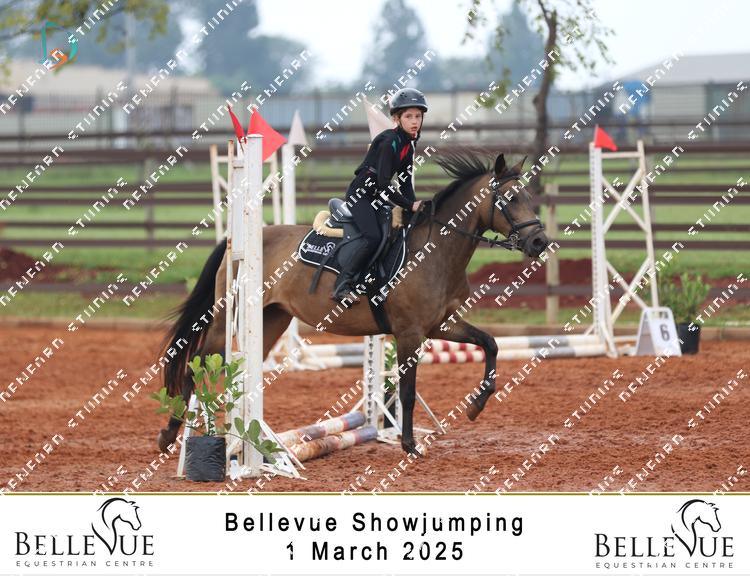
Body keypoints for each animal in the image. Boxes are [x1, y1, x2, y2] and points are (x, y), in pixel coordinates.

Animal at [158, 151, 550, 456]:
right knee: (196, 363)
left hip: (270, 321)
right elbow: (407, 392)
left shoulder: (441, 325)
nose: (540, 242)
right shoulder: (409, 333)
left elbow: (490, 343)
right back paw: (172, 434)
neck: (434, 252)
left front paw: (476, 406)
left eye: (529, 197)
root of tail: (233, 243)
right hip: (227, 317)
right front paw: (409, 445)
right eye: (510, 199)